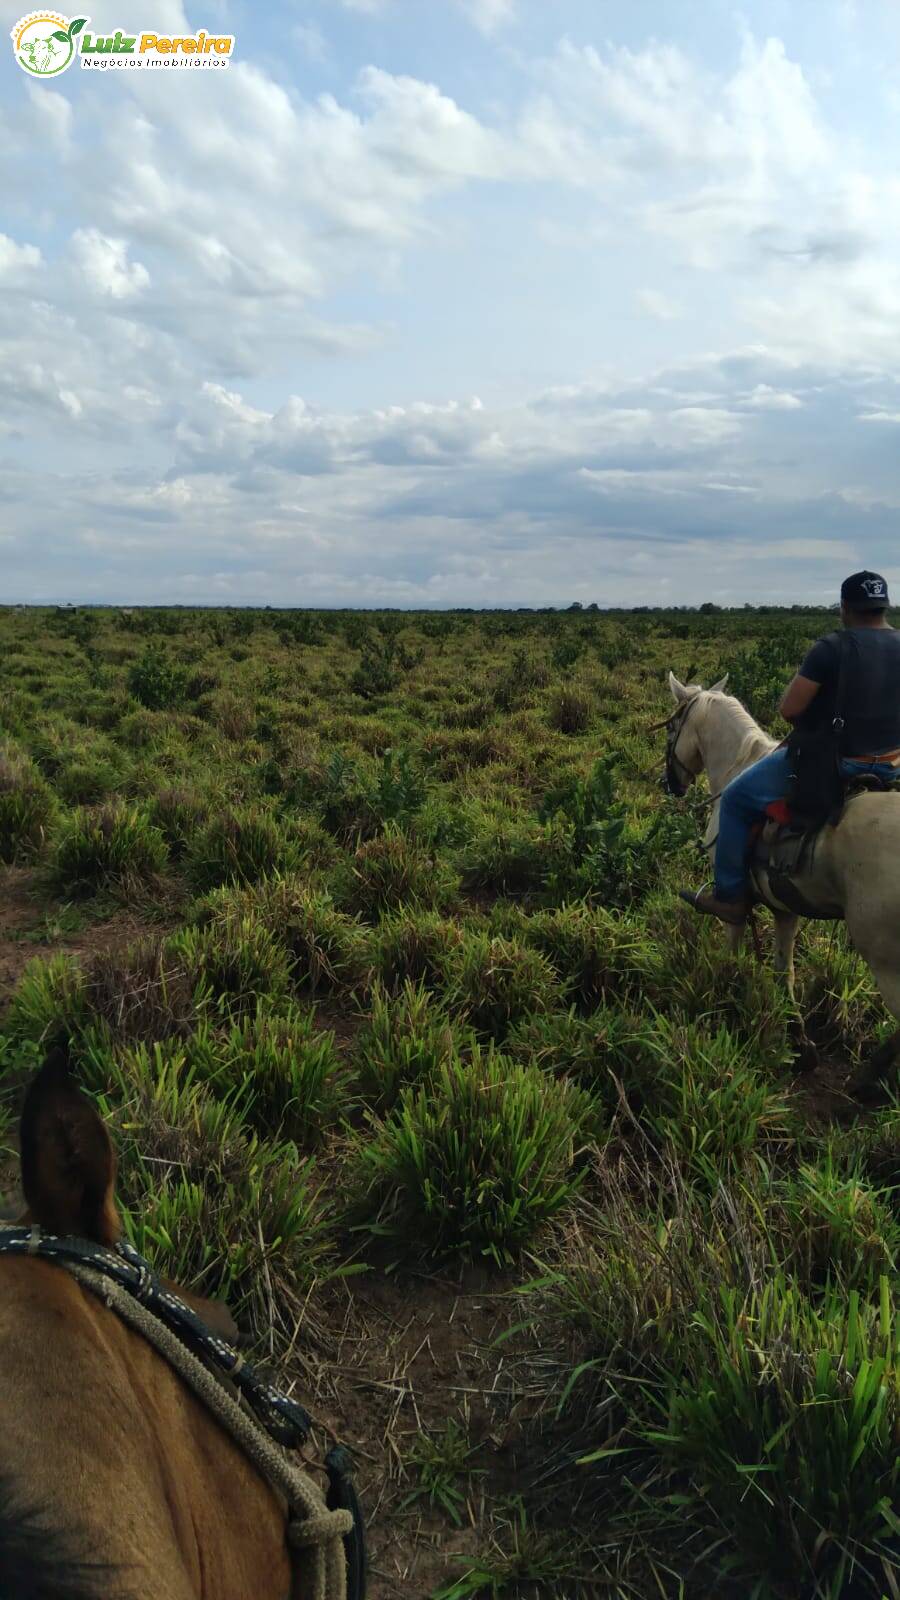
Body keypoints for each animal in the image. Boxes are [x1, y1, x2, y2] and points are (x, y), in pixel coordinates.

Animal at [659, 668, 896, 1094]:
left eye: (672, 727)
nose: (669, 783)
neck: (738, 764)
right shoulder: (786, 905)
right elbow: (784, 970)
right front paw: (799, 1042)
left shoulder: (734, 902)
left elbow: (732, 946)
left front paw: (725, 992)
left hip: (886, 960)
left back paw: (868, 1077)